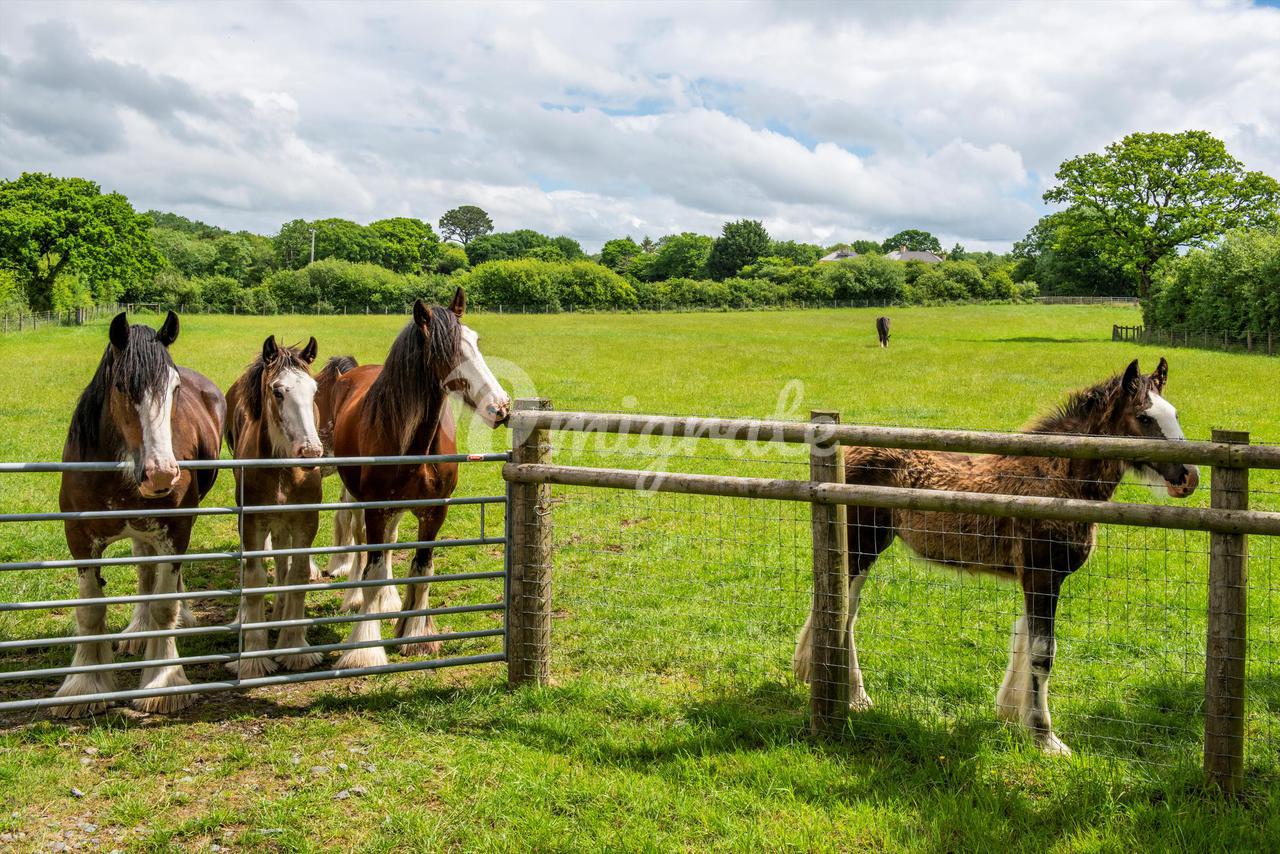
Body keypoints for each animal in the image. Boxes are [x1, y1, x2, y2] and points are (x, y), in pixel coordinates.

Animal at [52, 312, 225, 717]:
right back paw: (135, 632)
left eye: (175, 388)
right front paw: (84, 685)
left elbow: (164, 607)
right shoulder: (79, 539)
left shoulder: (176, 530)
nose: (160, 473)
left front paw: (164, 682)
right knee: (145, 570)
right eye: (120, 386)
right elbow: (90, 611)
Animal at [223, 335, 324, 677]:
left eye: (314, 390)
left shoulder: (305, 521)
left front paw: (294, 646)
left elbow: (297, 574)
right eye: (278, 391)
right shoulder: (252, 523)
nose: (310, 451)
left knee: (282, 561)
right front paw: (254, 655)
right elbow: (255, 580)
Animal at [319, 289, 510, 670]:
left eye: (475, 341)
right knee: (357, 537)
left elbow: (422, 569)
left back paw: (391, 602)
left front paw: (416, 636)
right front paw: (364, 648)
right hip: (358, 498)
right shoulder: (376, 509)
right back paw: (354, 598)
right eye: (445, 351)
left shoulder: (434, 511)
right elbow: (373, 572)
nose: (500, 406)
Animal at [793, 358, 1198, 755]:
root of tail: (848, 452)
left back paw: (843, 690)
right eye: (1144, 417)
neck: (1055, 480)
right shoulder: (1041, 574)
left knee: (846, 611)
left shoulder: (1038, 579)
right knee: (841, 610)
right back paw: (845, 691)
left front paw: (1010, 715)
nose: (1188, 477)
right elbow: (1042, 653)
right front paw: (1045, 738)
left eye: (1175, 413)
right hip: (861, 544)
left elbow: (1023, 639)